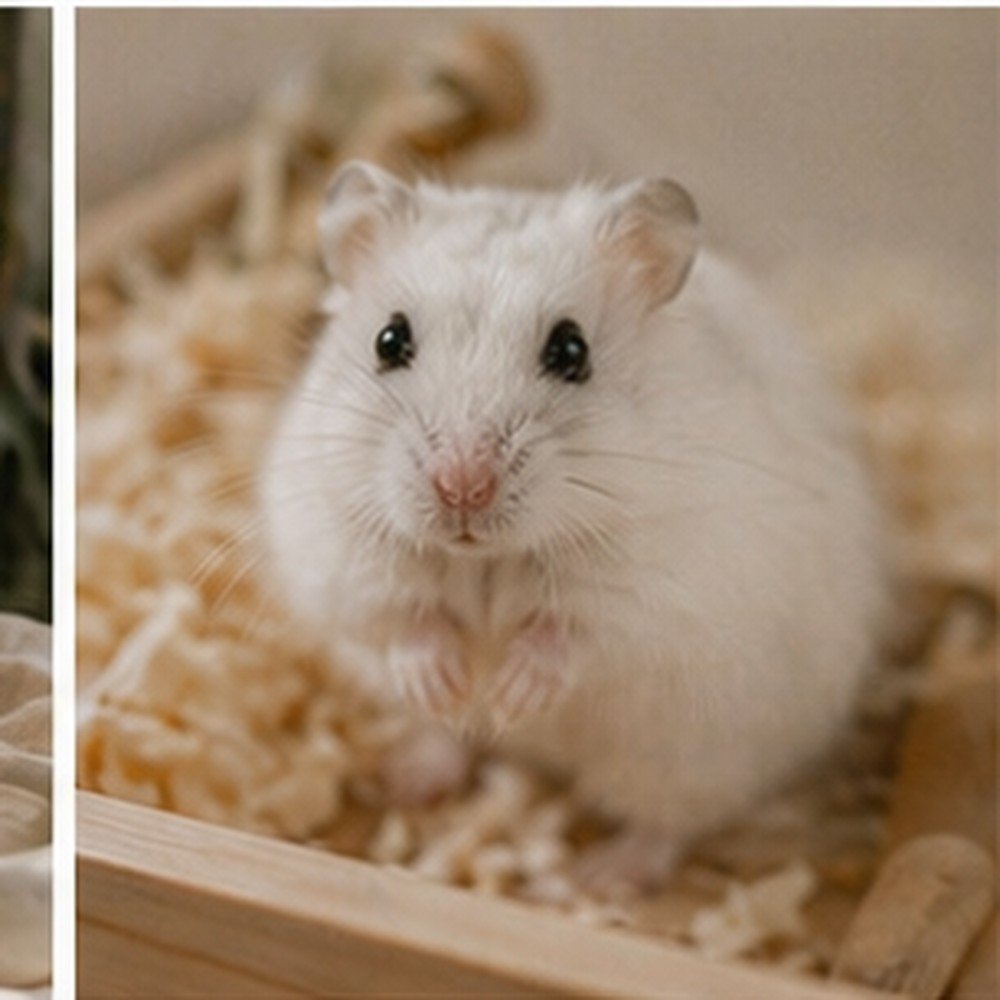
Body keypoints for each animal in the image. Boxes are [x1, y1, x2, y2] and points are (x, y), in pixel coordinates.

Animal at [260, 161, 890, 893]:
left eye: (571, 349)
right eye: (390, 341)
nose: (462, 486)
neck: (485, 557)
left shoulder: (653, 591)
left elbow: (572, 635)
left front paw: (512, 696)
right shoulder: (339, 544)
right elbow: (402, 616)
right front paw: (451, 685)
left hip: (689, 757)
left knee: (664, 827)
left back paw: (598, 876)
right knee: (452, 741)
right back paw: (412, 773)